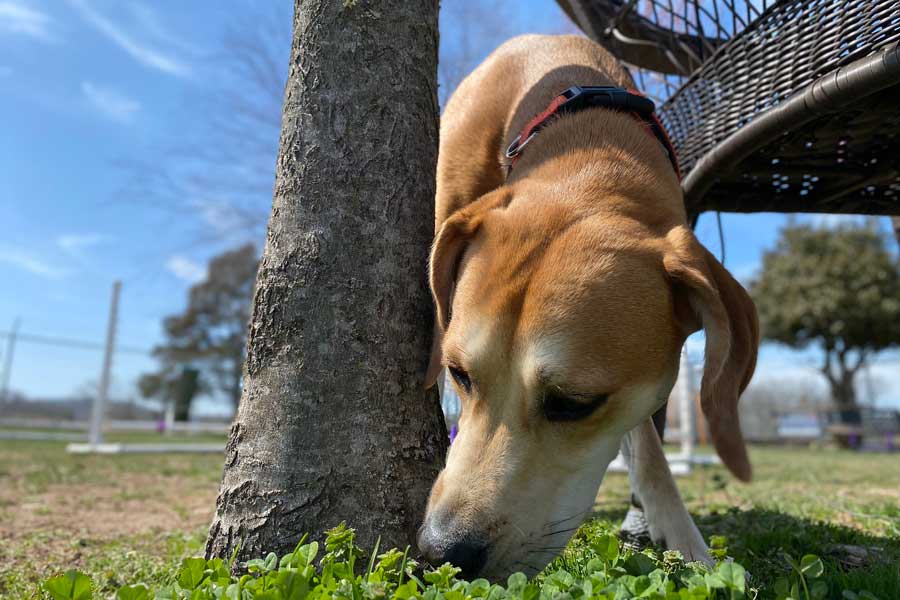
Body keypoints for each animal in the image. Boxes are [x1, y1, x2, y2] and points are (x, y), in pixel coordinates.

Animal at [418, 35, 756, 580]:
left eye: (574, 404)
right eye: (459, 374)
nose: (439, 553)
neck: (594, 151)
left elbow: (646, 442)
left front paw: (684, 538)